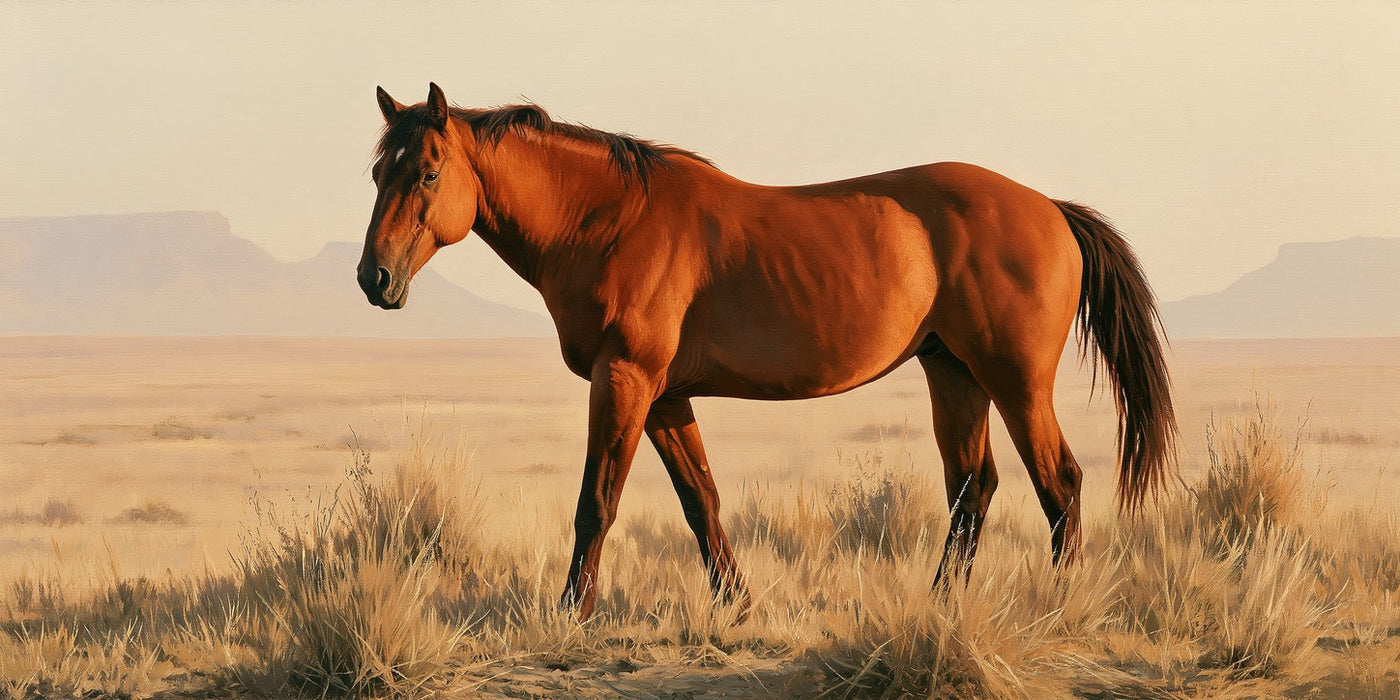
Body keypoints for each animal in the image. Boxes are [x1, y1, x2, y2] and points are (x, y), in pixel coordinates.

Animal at [358, 83, 1176, 621]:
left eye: (427, 172)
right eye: (376, 172)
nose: (375, 278)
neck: (611, 221)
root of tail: (1050, 209)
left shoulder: (624, 381)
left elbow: (597, 502)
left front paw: (572, 614)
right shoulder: (664, 396)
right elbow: (702, 502)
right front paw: (738, 605)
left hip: (1015, 383)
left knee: (1059, 483)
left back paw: (1062, 606)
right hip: (954, 374)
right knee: (973, 491)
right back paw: (941, 605)